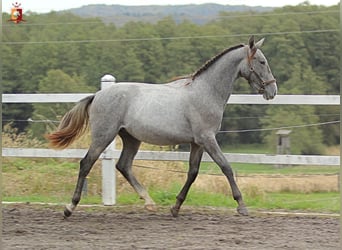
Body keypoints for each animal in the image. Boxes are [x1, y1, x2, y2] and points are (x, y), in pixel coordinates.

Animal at [46, 36, 276, 218]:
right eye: (262, 61)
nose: (272, 91)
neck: (205, 92)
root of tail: (97, 95)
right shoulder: (207, 138)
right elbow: (226, 167)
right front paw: (242, 206)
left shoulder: (197, 143)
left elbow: (193, 173)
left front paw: (175, 207)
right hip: (104, 136)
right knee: (86, 163)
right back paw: (69, 208)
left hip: (131, 138)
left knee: (123, 165)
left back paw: (149, 203)